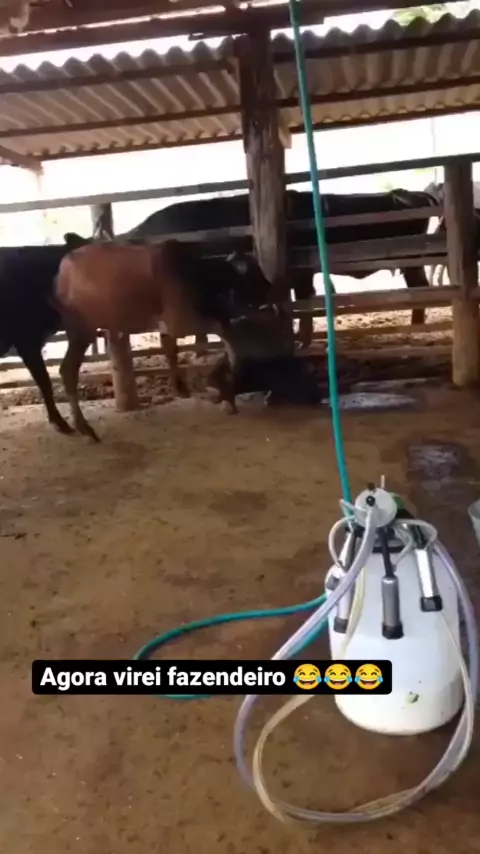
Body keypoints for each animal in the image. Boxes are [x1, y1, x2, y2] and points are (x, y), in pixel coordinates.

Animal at [53, 239, 278, 442]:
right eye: (255, 275)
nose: (272, 289)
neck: (195, 272)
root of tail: (63, 271)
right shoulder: (182, 322)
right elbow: (224, 331)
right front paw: (226, 378)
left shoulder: (168, 326)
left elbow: (171, 349)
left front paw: (181, 387)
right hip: (82, 330)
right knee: (68, 370)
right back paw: (83, 427)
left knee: (67, 370)